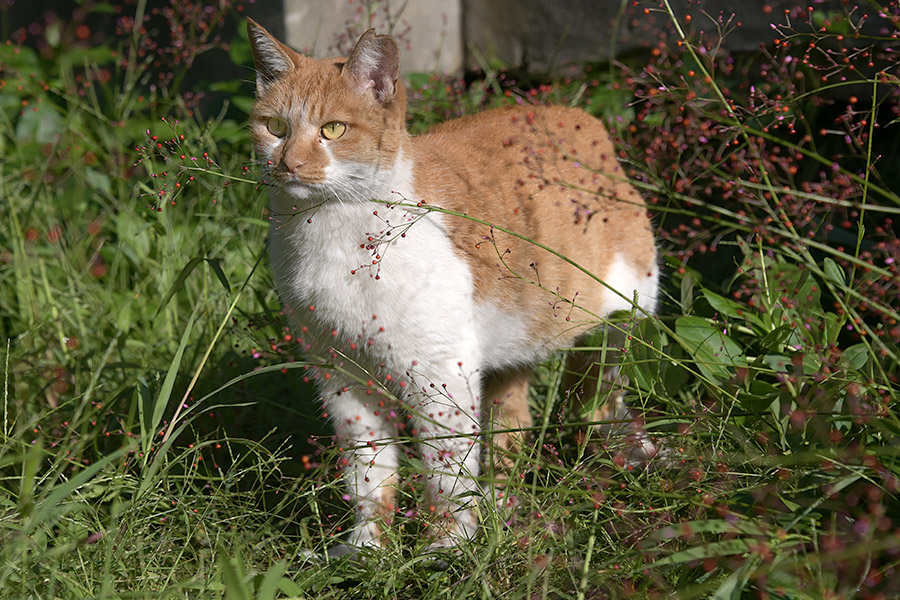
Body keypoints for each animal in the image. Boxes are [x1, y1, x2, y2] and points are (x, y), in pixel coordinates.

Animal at [248, 18, 660, 552]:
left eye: (333, 130)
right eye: (276, 127)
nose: (289, 164)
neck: (331, 234)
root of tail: (580, 118)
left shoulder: (439, 375)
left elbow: (447, 473)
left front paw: (447, 548)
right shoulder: (341, 375)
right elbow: (369, 472)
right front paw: (367, 547)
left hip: (622, 325)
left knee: (604, 399)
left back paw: (628, 456)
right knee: (511, 432)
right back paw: (504, 513)